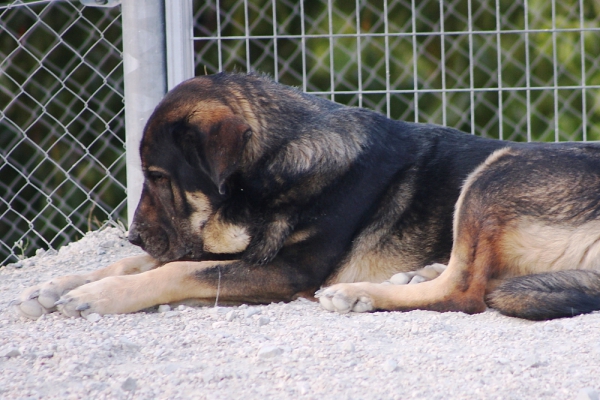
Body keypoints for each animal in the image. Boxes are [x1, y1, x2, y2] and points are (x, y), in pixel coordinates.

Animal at [11, 72, 600, 322]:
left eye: (156, 176)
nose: (132, 233)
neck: (277, 163)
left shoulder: (285, 269)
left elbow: (173, 269)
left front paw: (98, 296)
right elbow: (149, 263)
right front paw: (61, 283)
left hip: (494, 173)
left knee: (465, 291)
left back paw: (362, 294)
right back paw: (411, 275)